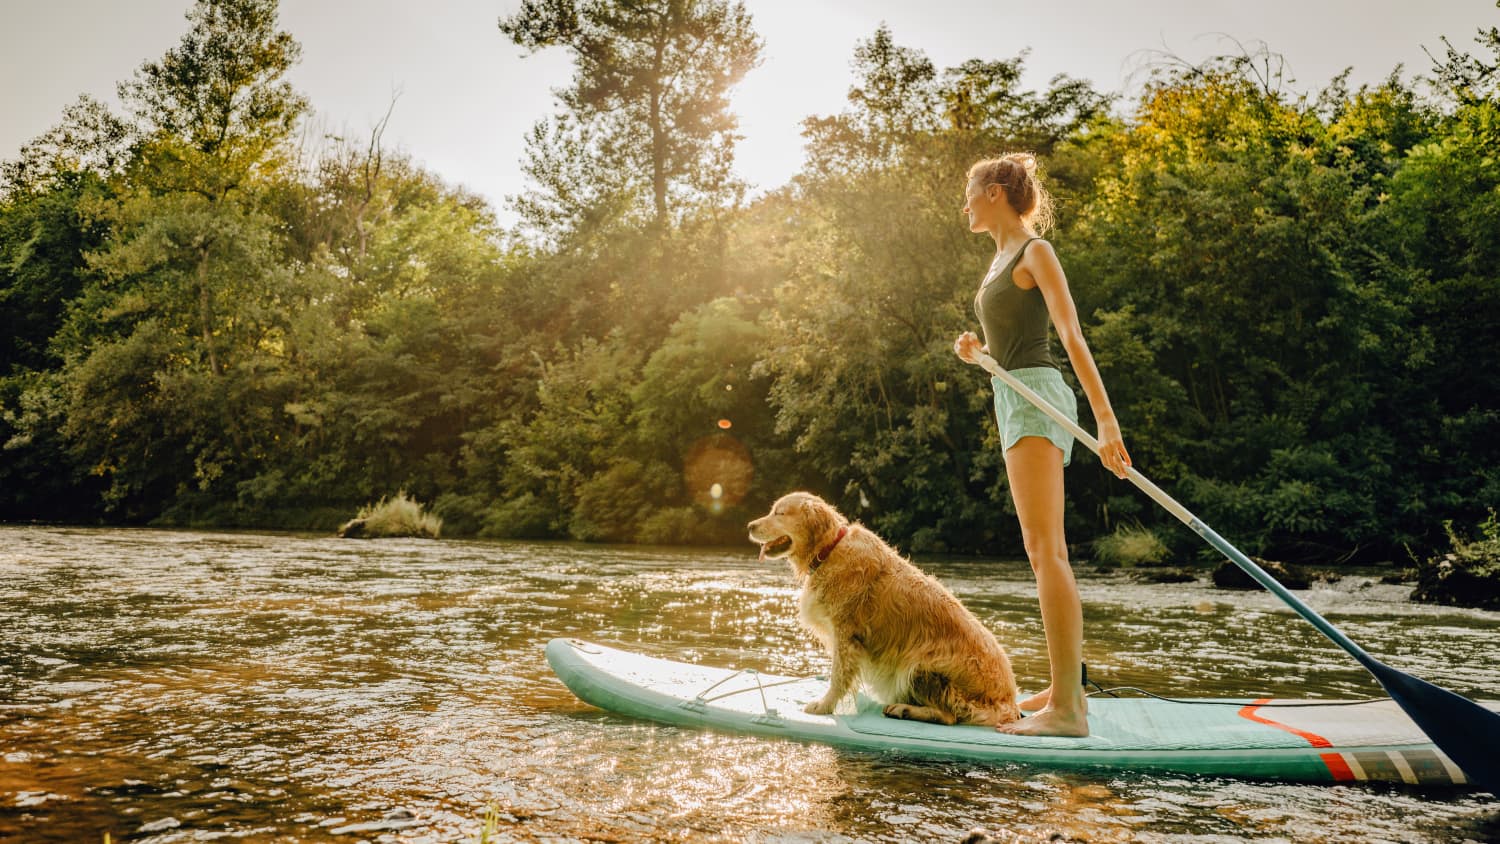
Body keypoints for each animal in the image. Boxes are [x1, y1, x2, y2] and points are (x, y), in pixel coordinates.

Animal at [747, 491, 1026, 728]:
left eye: (779, 513)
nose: (749, 526)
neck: (829, 550)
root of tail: (1009, 704)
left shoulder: (846, 634)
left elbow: (838, 676)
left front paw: (824, 705)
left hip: (921, 664)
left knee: (950, 717)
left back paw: (905, 709)